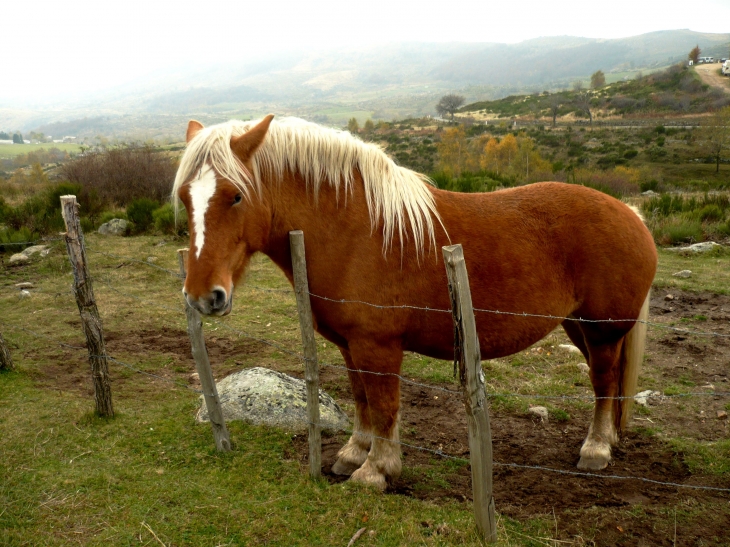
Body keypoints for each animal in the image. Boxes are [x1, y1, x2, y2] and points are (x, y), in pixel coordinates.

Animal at [173, 115, 656, 492]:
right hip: (578, 326)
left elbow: (384, 405)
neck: (351, 229)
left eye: (236, 195)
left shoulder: (378, 346)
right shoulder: (351, 346)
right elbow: (362, 399)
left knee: (604, 381)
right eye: (184, 198)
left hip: (603, 330)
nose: (203, 296)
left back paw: (596, 448)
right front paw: (354, 453)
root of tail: (631, 214)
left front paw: (376, 471)